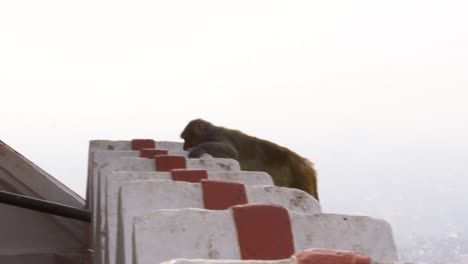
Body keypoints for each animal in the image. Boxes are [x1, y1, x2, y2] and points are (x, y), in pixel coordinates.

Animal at [179, 119, 318, 200]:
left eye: (186, 138)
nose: (184, 147)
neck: (209, 133)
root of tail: (306, 164)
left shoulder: (218, 135)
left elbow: (231, 151)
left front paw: (198, 148)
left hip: (300, 175)